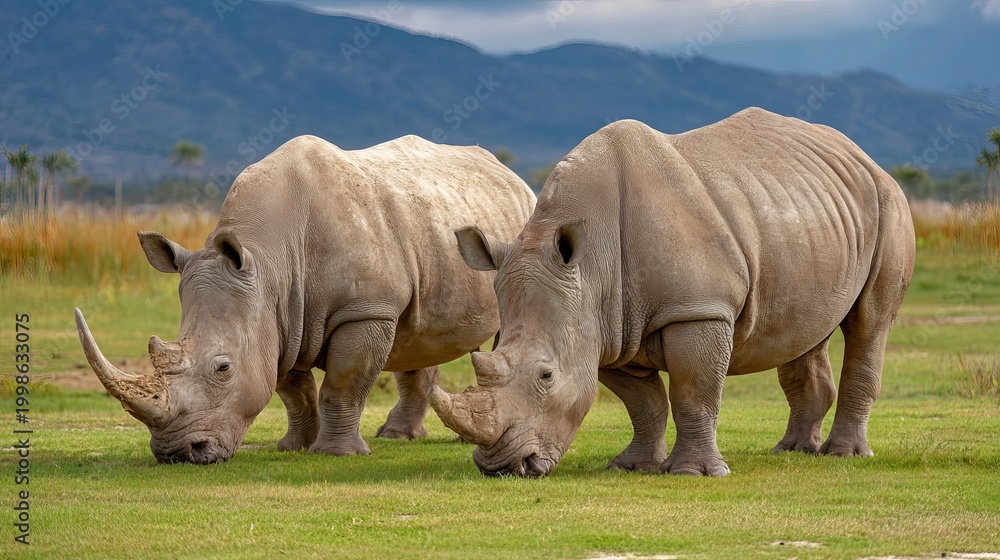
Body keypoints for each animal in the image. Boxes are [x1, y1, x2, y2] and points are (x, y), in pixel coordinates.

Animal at [75, 134, 535, 464]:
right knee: (421, 336)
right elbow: (292, 390)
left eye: (223, 368)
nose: (179, 454)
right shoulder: (277, 318)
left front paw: (336, 454)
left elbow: (343, 383)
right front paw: (293, 447)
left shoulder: (364, 310)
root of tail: (512, 176)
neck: (268, 262)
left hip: (516, 234)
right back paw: (399, 436)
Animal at [430, 108, 915, 477]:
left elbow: (692, 393)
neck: (591, 270)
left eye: (546, 376)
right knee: (803, 332)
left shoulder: (697, 309)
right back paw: (792, 450)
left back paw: (844, 455)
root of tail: (860, 155)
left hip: (889, 201)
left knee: (869, 323)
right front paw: (632, 466)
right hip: (808, 212)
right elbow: (642, 402)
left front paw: (693, 473)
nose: (502, 467)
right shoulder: (609, 327)